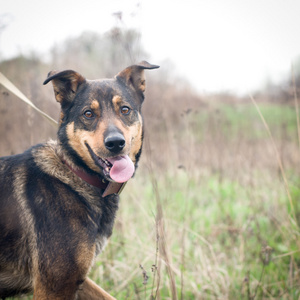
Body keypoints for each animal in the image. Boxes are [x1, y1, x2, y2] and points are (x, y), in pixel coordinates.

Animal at [0, 61, 159, 300]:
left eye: (125, 110)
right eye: (88, 114)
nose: (115, 143)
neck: (75, 172)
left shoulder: (76, 279)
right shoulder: (53, 285)